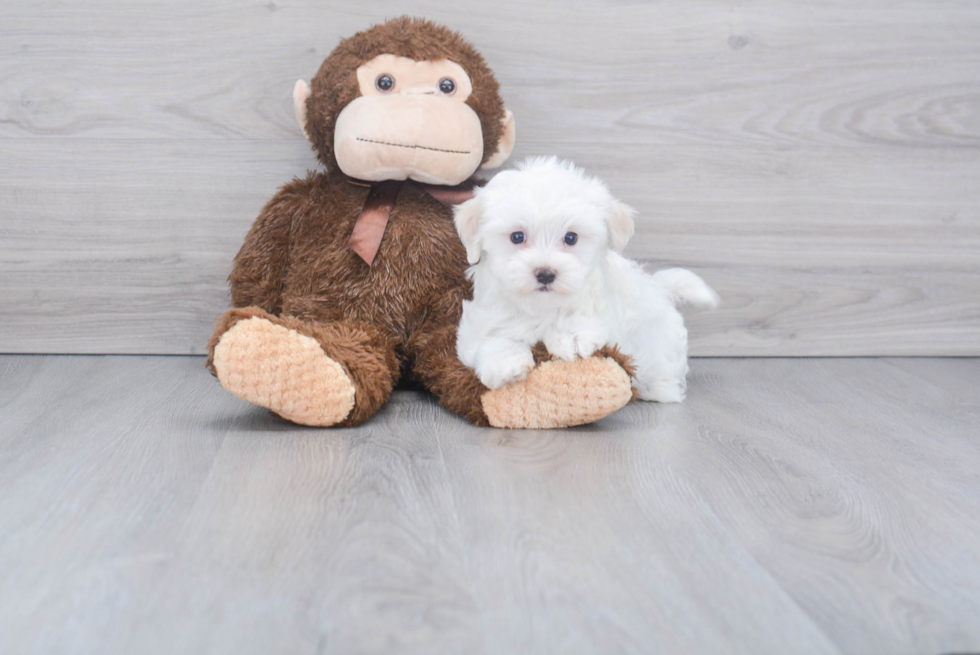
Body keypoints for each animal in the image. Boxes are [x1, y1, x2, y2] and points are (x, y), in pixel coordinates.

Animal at [454, 158, 720, 404]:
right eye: (517, 237)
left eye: (571, 238)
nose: (545, 273)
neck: (543, 307)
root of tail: (658, 288)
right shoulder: (480, 322)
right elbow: (491, 338)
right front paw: (506, 364)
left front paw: (570, 335)